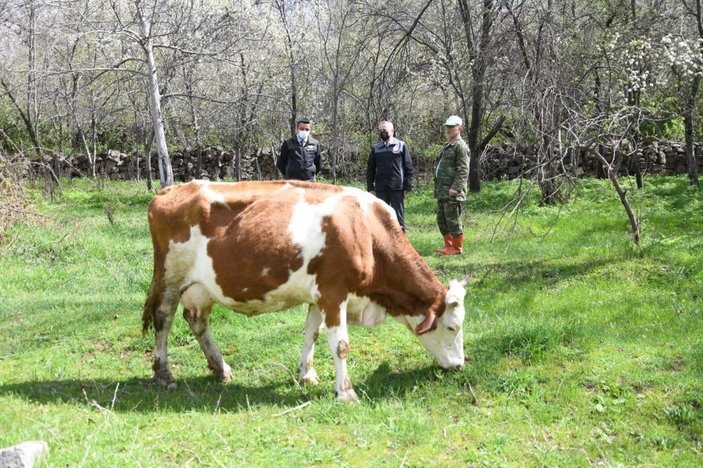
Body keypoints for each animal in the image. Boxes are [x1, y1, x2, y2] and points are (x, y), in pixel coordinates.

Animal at [142, 181, 468, 400]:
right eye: (452, 327)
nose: (460, 365)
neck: (366, 231)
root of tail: (170, 190)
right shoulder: (334, 292)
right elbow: (341, 345)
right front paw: (345, 392)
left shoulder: (318, 296)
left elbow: (312, 333)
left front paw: (306, 374)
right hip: (170, 278)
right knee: (163, 320)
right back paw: (164, 374)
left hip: (201, 287)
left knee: (197, 321)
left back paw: (220, 368)